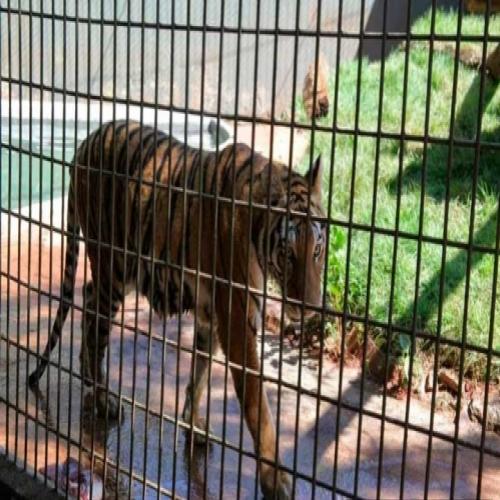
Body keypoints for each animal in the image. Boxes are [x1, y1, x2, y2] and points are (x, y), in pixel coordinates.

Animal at [30, 119, 328, 498]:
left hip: (125, 269)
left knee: (88, 297)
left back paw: (88, 375)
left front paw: (194, 425)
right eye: (288, 254)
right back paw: (102, 397)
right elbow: (258, 407)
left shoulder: (211, 316)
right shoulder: (237, 322)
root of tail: (87, 141)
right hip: (114, 264)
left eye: (317, 250)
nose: (311, 308)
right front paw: (276, 480)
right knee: (97, 324)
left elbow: (198, 376)